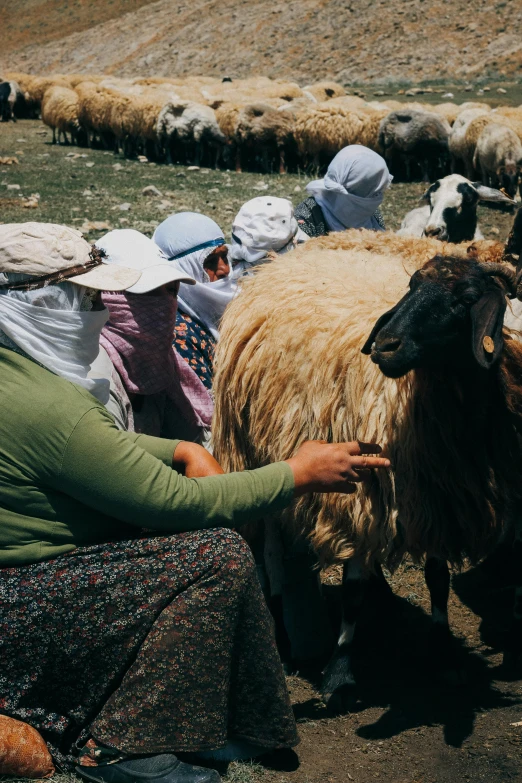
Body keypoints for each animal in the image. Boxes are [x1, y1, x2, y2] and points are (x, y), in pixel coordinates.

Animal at [210, 228, 520, 712]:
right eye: (411, 284)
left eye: (467, 298)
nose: (384, 346)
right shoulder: (360, 492)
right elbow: (352, 592)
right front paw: (339, 675)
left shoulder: (436, 495)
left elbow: (438, 580)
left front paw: (444, 654)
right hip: (250, 448)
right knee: (270, 552)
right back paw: (282, 635)